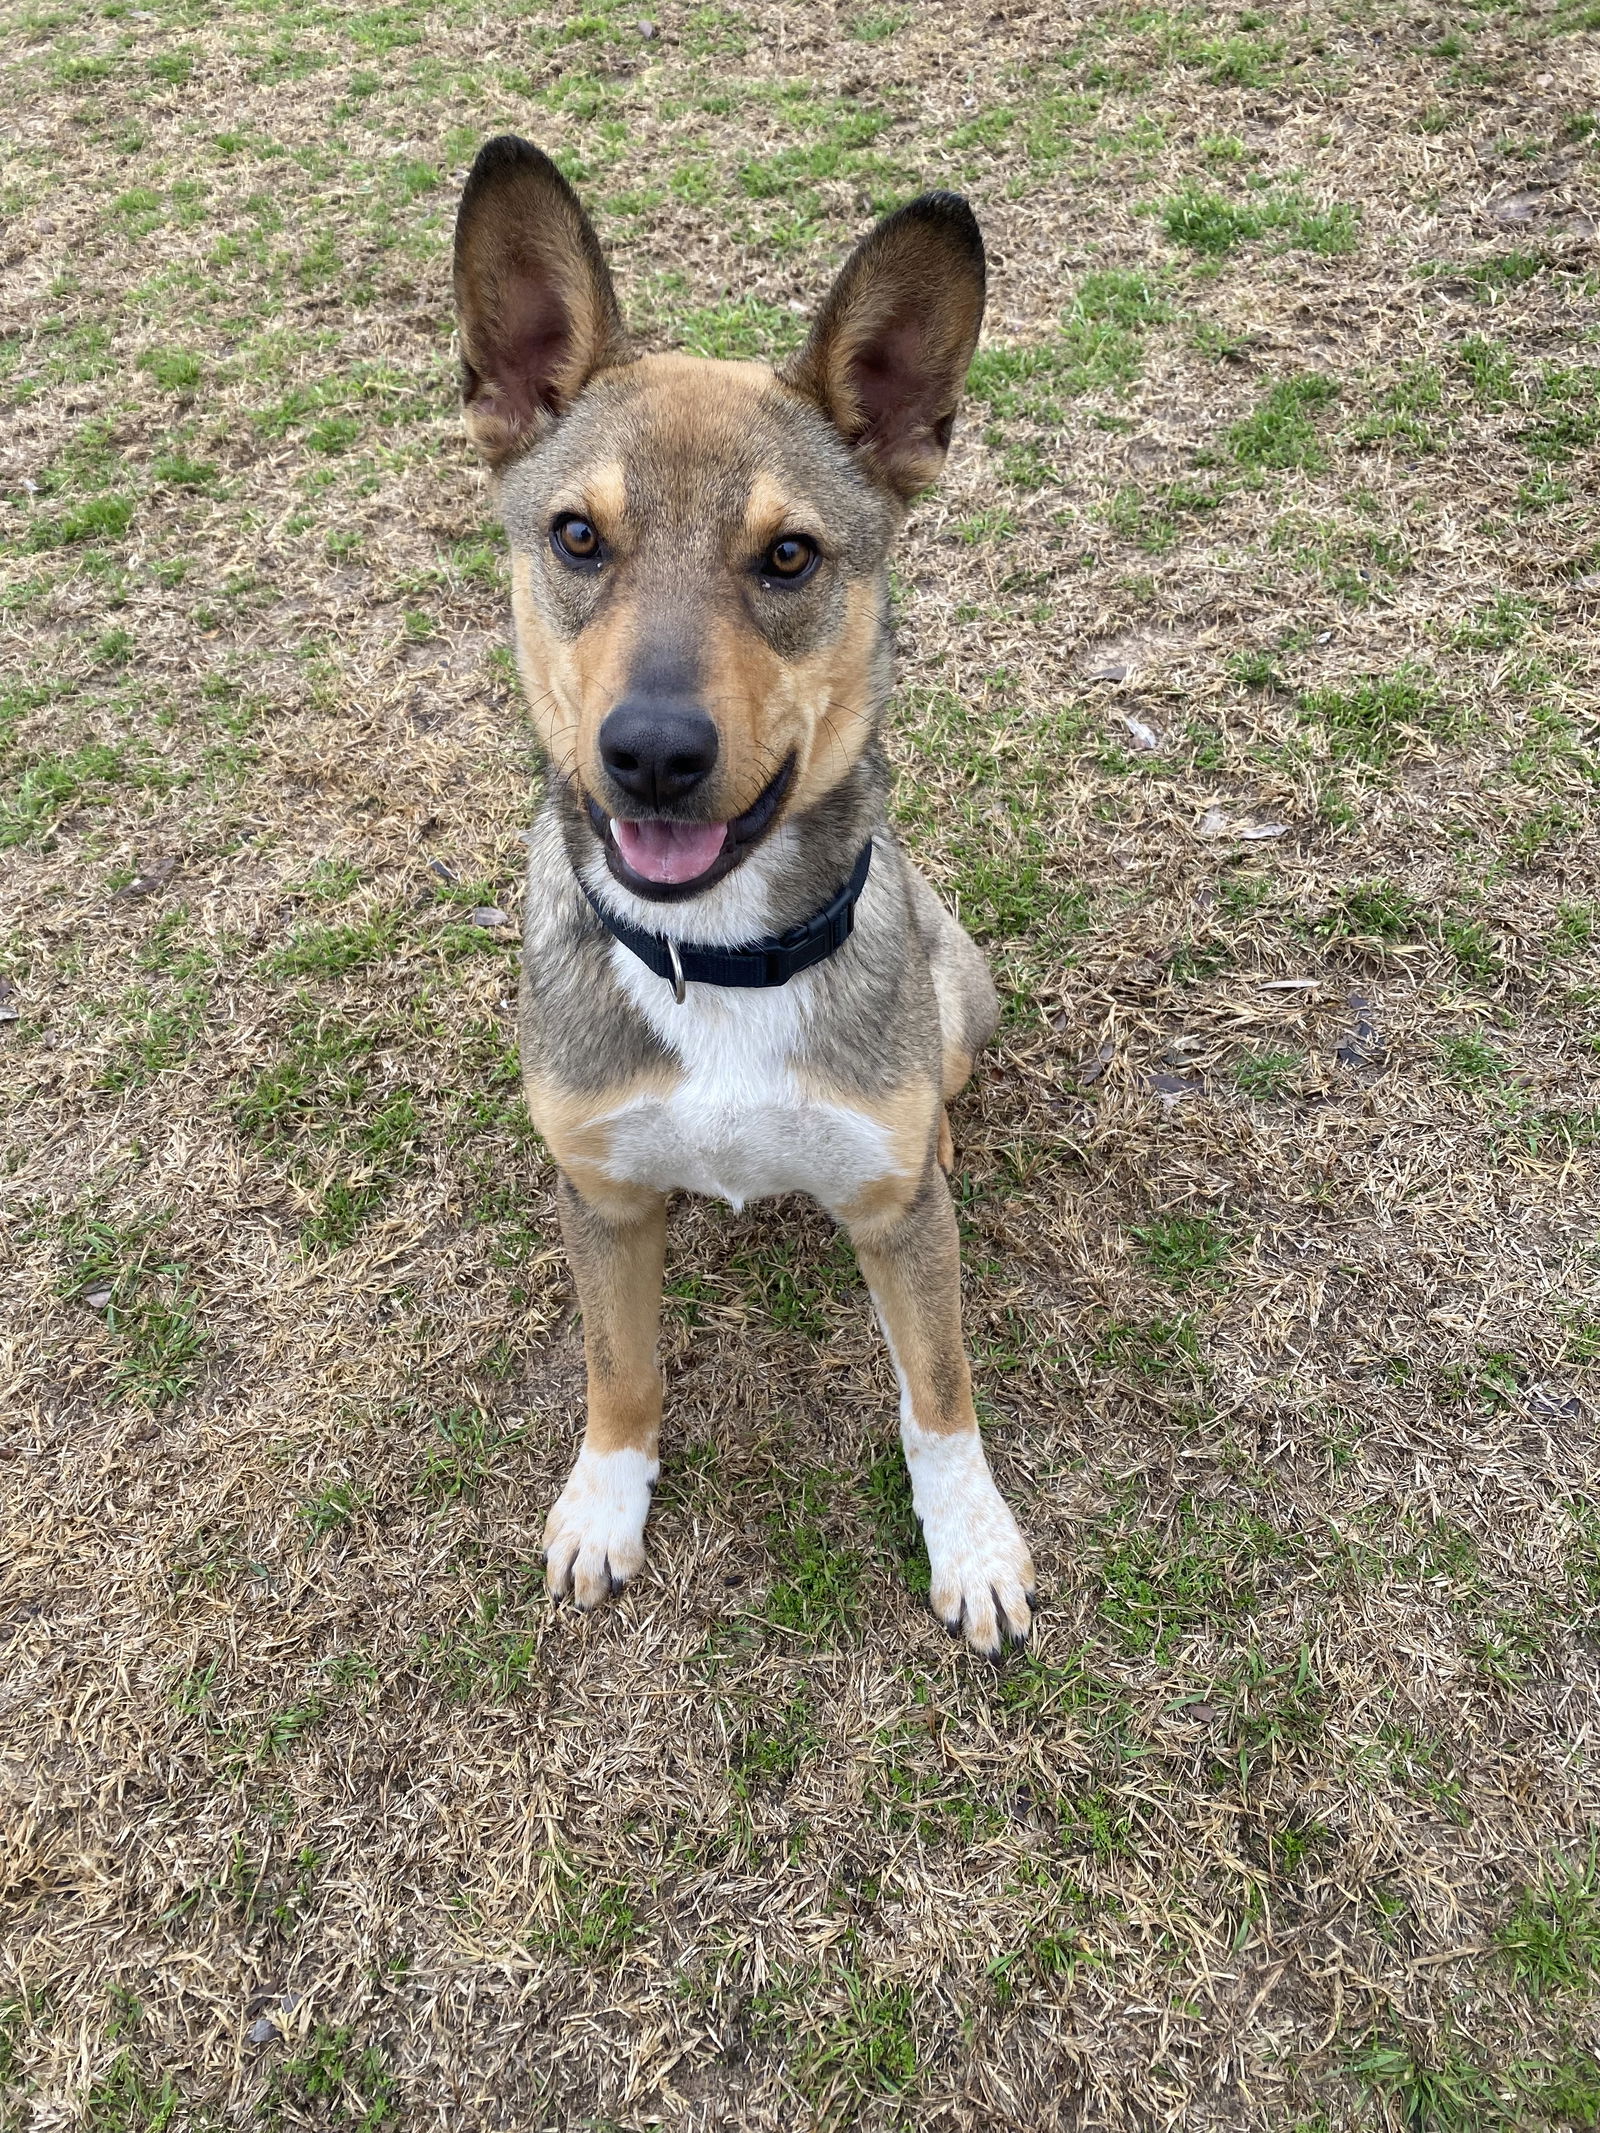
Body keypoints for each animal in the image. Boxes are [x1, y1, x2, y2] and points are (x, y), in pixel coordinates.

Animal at [452, 137, 1041, 1663]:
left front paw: (974, 1545)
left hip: (959, 996)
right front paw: (605, 1504)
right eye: (576, 536)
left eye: (789, 557)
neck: (712, 960)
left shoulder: (902, 1221)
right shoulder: (601, 1193)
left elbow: (940, 1394)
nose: (654, 753)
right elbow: (620, 1370)